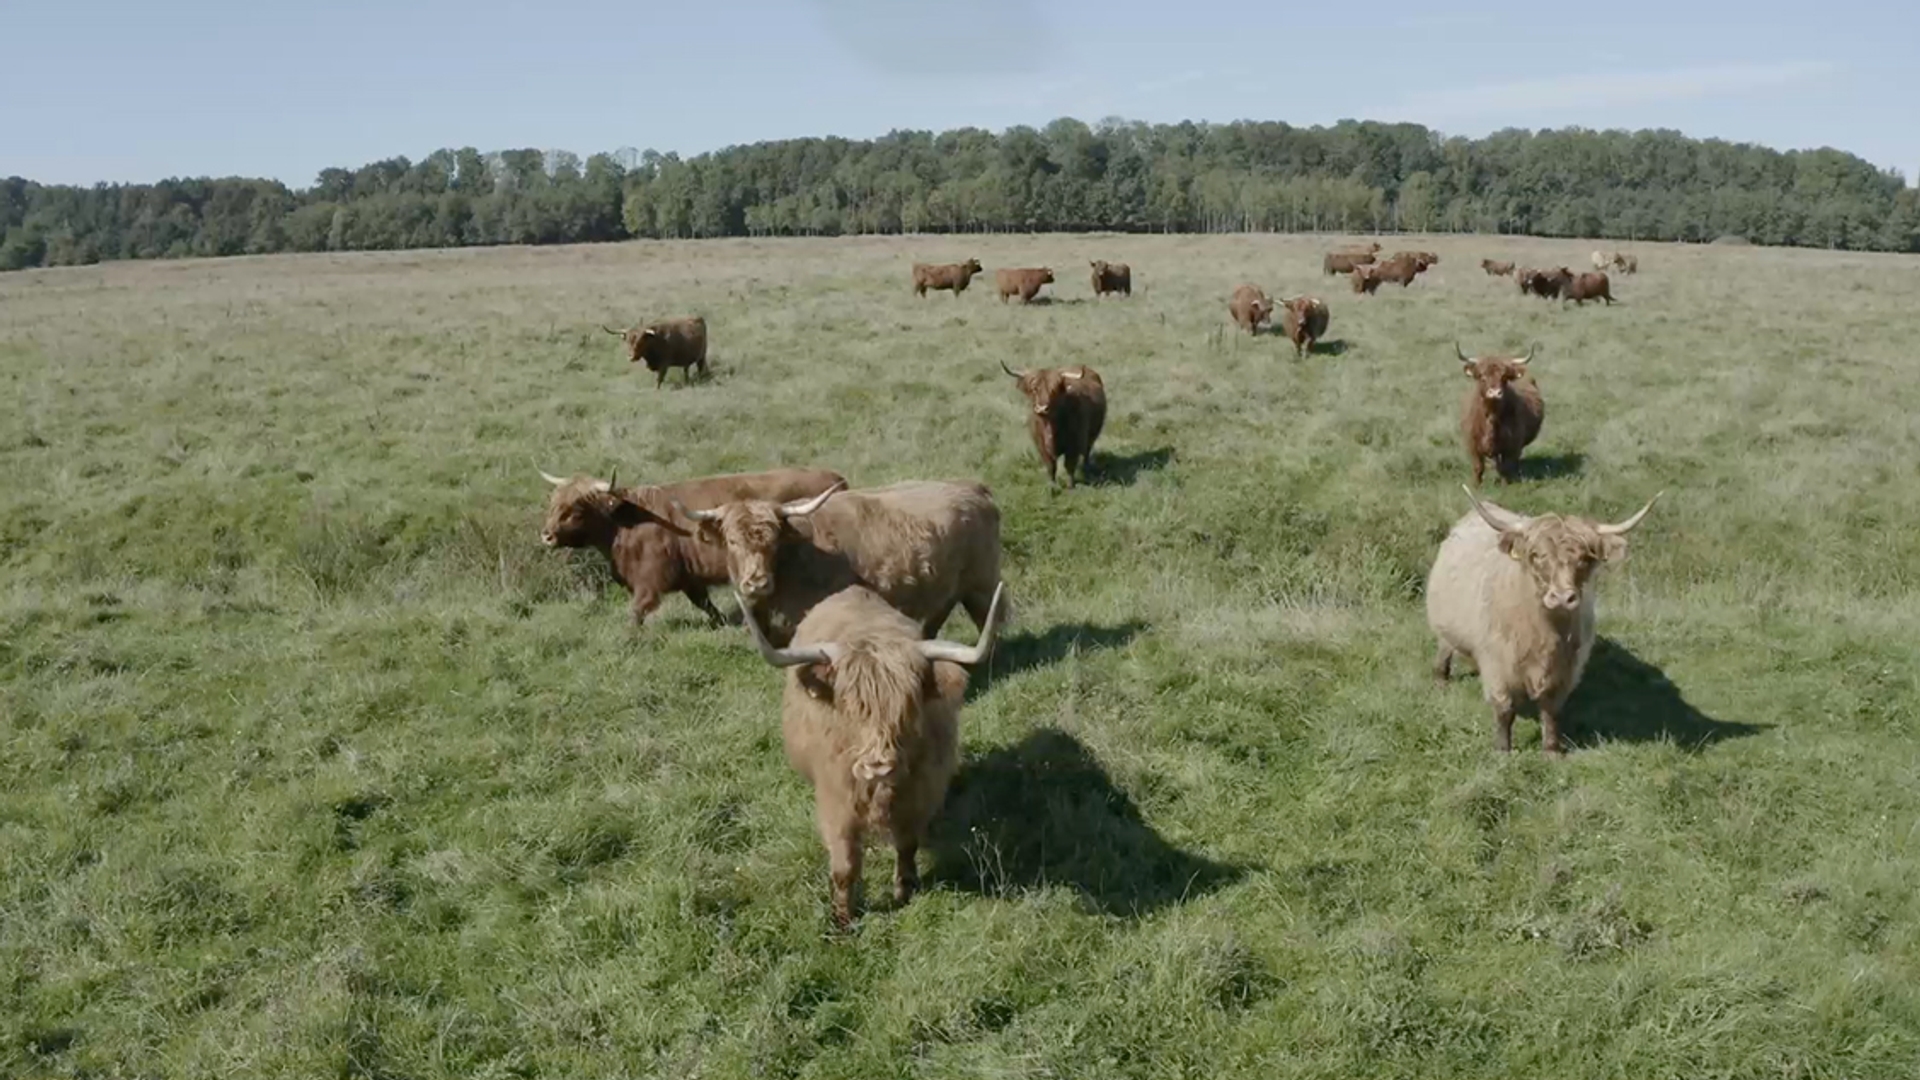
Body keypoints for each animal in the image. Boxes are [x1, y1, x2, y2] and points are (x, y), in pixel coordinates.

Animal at [679, 476, 1006, 641]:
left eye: (773, 542)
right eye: (732, 541)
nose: (757, 583)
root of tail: (973, 488)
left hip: (983, 583)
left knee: (989, 620)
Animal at [733, 580, 1006, 926]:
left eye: (908, 704)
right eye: (850, 706)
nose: (878, 766)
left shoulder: (920, 796)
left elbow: (907, 844)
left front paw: (904, 890)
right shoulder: (836, 804)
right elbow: (845, 865)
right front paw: (843, 918)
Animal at [1451, 340, 1543, 484]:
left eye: (1504, 377)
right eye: (1482, 377)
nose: (1494, 393)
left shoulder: (1512, 447)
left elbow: (1505, 468)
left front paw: (1505, 485)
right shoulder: (1472, 445)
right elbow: (1478, 467)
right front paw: (1476, 486)